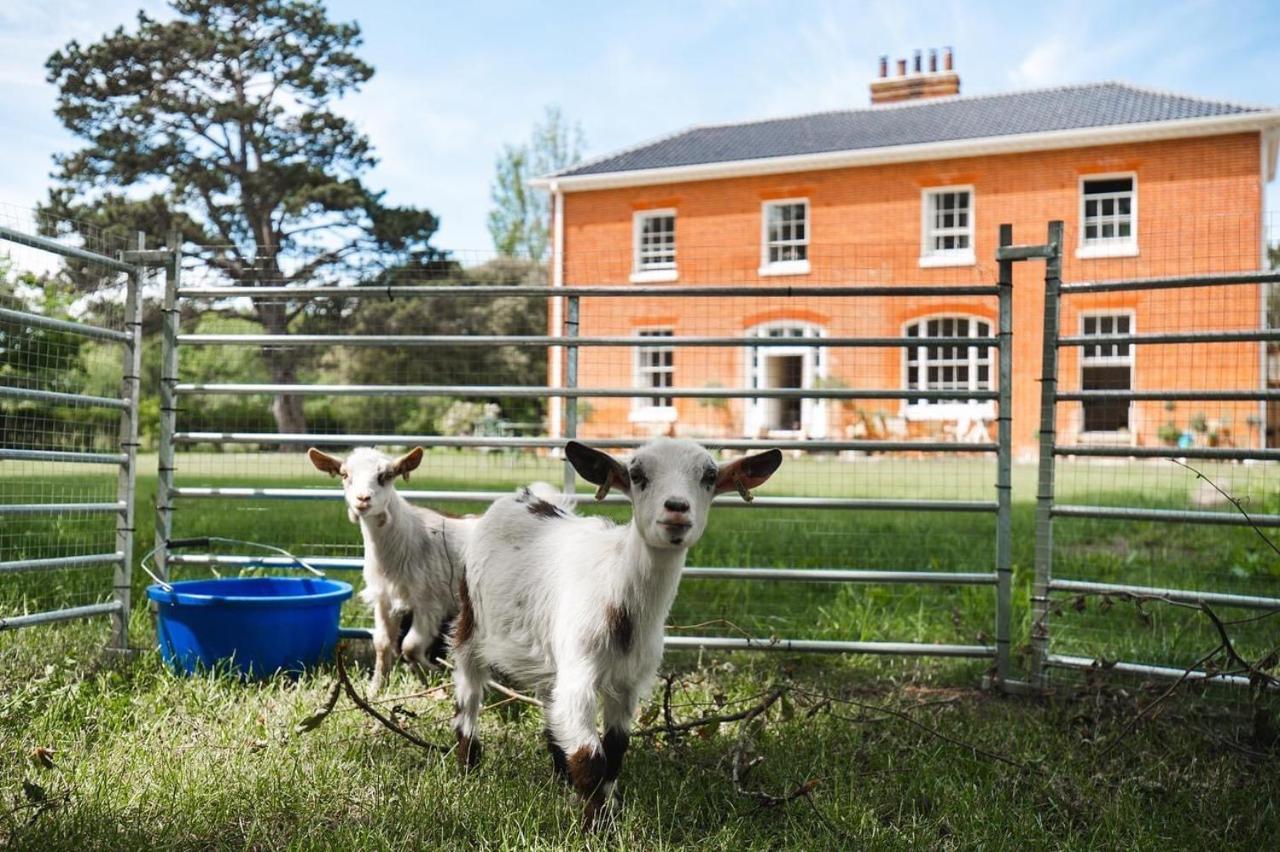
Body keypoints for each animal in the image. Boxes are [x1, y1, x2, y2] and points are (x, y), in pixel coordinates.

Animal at [309, 445, 476, 690]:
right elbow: (382, 643)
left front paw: (434, 675)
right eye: (345, 474)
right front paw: (376, 688)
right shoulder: (385, 598)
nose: (363, 499)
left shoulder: (429, 600)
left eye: (386, 475)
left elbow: (410, 646)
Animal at [455, 437, 783, 823]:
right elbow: (589, 757)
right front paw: (595, 825)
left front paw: (609, 808)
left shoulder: (629, 682)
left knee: (550, 700)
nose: (676, 508)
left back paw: (560, 777)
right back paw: (467, 765)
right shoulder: (580, 673)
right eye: (637, 476)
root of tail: (527, 496)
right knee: (468, 689)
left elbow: (614, 750)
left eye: (709, 477)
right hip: (470, 619)